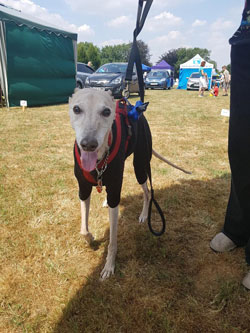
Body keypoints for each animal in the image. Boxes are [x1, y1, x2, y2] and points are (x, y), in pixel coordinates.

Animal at [69, 87, 190, 278]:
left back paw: (143, 215)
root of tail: (135, 109)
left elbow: (112, 241)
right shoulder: (84, 189)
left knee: (147, 192)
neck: (99, 161)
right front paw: (90, 239)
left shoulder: (115, 192)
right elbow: (83, 230)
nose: (88, 144)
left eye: (106, 112)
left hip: (140, 165)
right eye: (76, 109)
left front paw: (109, 266)